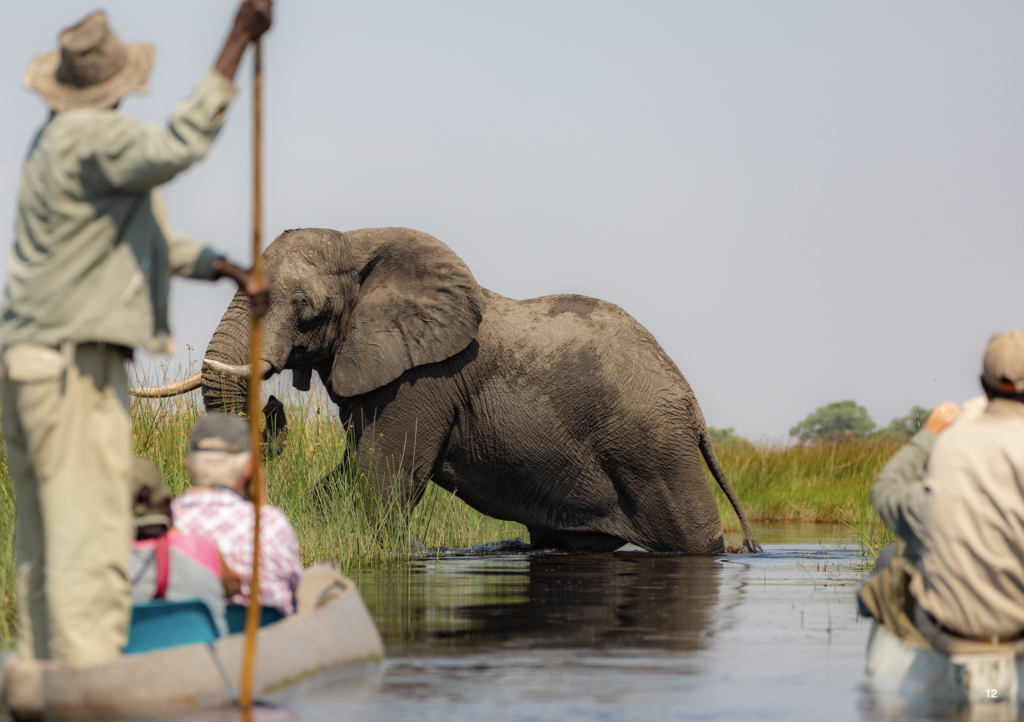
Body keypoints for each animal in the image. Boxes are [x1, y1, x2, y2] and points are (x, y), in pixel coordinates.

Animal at [134, 228, 761, 553]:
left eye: (306, 310)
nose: (273, 405)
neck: (360, 242)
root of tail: (693, 406)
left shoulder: (421, 382)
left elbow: (382, 482)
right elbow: (345, 476)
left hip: (654, 450)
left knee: (694, 538)